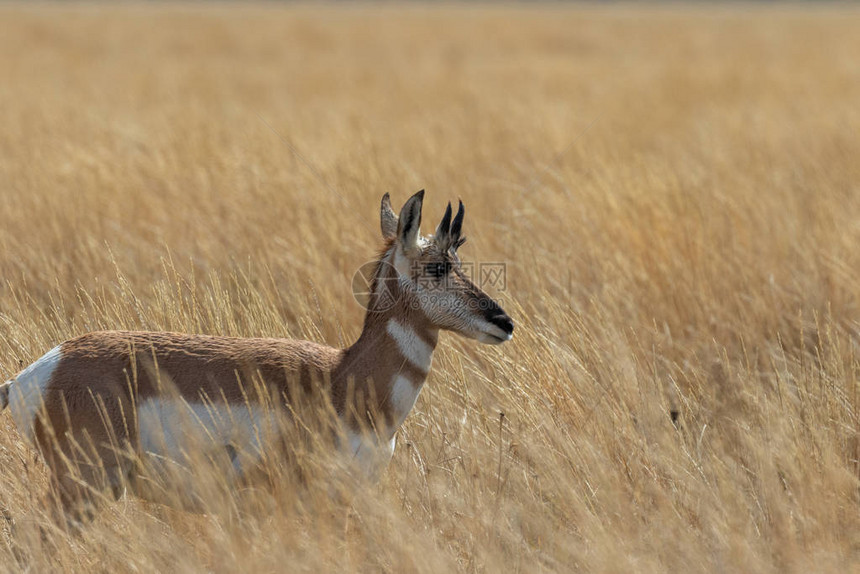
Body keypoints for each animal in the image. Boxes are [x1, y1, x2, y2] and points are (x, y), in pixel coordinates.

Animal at [0, 191, 510, 524]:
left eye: (459, 262)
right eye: (438, 266)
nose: (504, 321)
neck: (340, 377)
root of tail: (42, 368)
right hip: (81, 489)